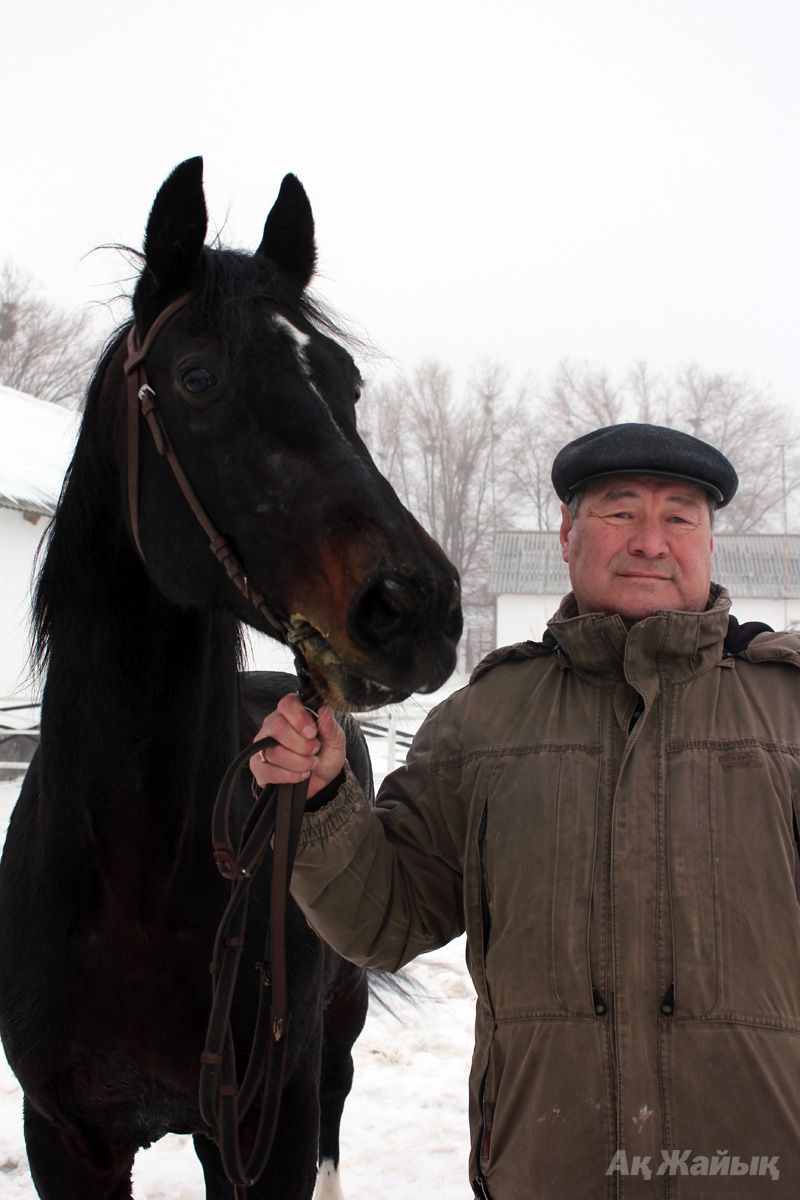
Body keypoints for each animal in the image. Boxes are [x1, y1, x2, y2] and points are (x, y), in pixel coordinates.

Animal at [0, 162, 462, 1200]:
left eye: (346, 381)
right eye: (197, 379)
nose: (415, 607)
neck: (129, 880)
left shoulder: (259, 1125)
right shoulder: (66, 1140)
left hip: (330, 1036)